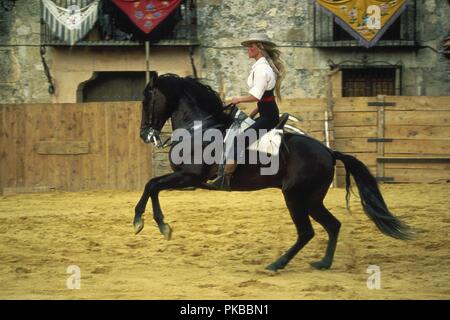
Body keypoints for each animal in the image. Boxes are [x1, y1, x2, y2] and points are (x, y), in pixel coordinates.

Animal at [134, 74, 412, 272]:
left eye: (146, 102)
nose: (145, 135)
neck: (200, 128)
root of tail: (329, 152)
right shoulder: (187, 179)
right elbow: (152, 185)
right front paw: (157, 224)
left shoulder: (190, 177)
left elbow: (151, 184)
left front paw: (148, 223)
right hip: (312, 199)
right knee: (333, 225)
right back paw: (323, 263)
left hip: (295, 197)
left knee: (307, 232)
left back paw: (277, 264)